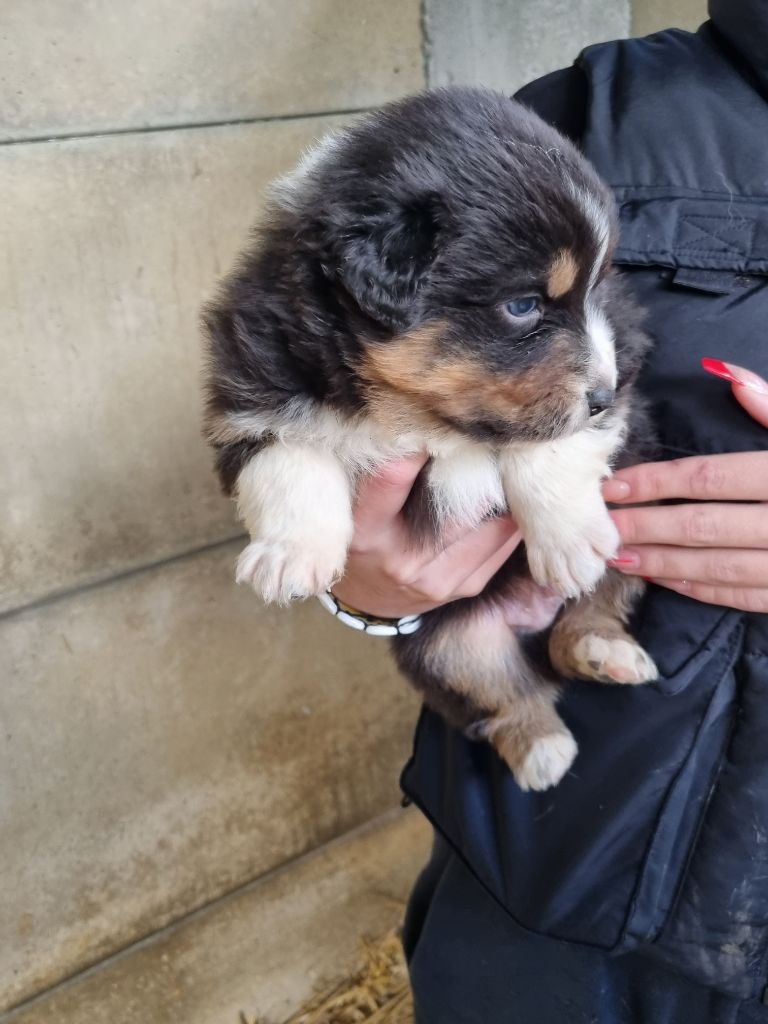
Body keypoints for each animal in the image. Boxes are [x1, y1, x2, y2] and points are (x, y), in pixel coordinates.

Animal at [202, 87, 658, 792]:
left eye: (598, 290)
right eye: (523, 305)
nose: (601, 397)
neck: (419, 413)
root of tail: (531, 620)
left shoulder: (624, 351)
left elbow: (544, 446)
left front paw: (568, 541)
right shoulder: (249, 393)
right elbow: (289, 463)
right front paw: (289, 558)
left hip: (633, 551)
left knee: (590, 614)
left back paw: (600, 649)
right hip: (444, 647)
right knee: (506, 692)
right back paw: (542, 749)